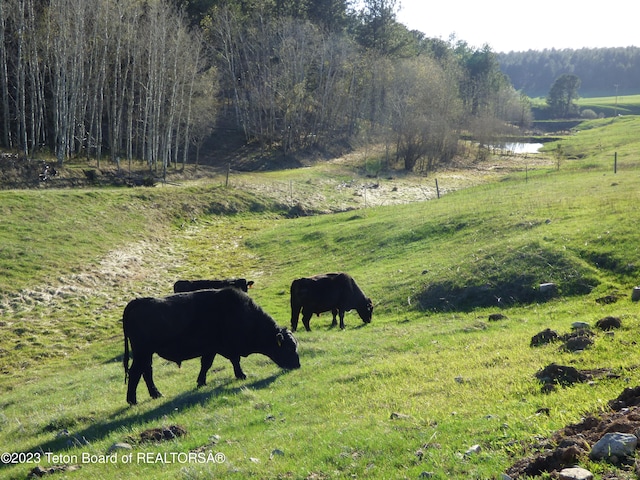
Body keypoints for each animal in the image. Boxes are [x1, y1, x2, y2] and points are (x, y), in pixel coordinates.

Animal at [123, 286, 300, 406]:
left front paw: (201, 382)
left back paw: (154, 395)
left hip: (146, 354)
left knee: (146, 371)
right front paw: (241, 375)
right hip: (142, 352)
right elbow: (232, 361)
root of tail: (137, 302)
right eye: (289, 348)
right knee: (136, 372)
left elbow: (206, 365)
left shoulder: (211, 349)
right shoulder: (223, 347)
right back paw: (134, 400)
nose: (297, 365)